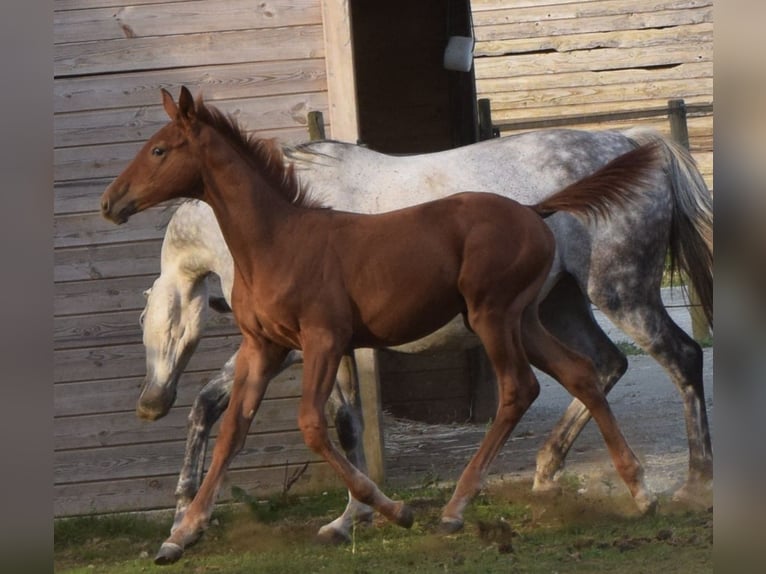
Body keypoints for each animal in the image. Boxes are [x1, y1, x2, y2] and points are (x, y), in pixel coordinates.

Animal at [102, 86, 662, 564]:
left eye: (159, 150)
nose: (111, 201)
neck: (279, 241)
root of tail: (534, 210)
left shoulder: (322, 341)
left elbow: (315, 425)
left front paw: (389, 511)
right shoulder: (265, 346)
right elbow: (234, 429)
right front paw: (181, 534)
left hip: (494, 316)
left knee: (520, 388)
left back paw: (456, 510)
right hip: (525, 318)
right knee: (582, 373)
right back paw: (639, 491)